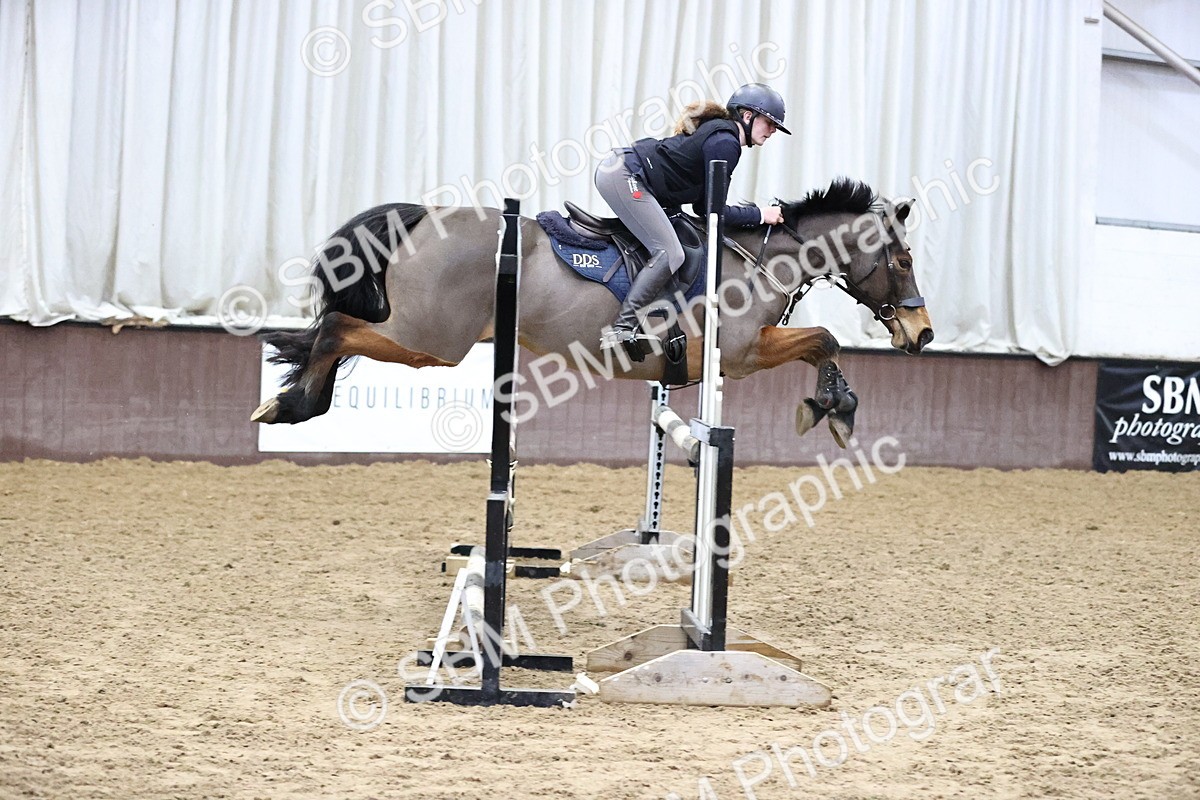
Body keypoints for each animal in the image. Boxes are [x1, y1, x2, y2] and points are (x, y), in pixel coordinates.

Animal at [251, 177, 933, 446]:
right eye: (902, 261)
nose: (923, 334)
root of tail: (424, 218)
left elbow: (822, 342)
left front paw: (833, 407)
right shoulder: (741, 354)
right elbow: (824, 339)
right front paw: (835, 410)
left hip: (427, 338)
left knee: (338, 330)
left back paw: (293, 400)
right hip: (433, 340)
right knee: (338, 328)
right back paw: (291, 404)